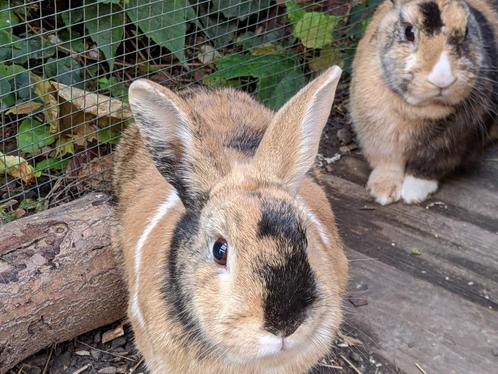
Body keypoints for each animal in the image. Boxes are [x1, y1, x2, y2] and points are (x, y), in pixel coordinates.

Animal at [350, 0, 498, 205]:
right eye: (408, 32)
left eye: (466, 31)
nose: (442, 79)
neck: (415, 110)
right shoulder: (377, 137)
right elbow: (387, 163)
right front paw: (382, 192)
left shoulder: (451, 146)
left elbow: (428, 166)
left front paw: (413, 193)